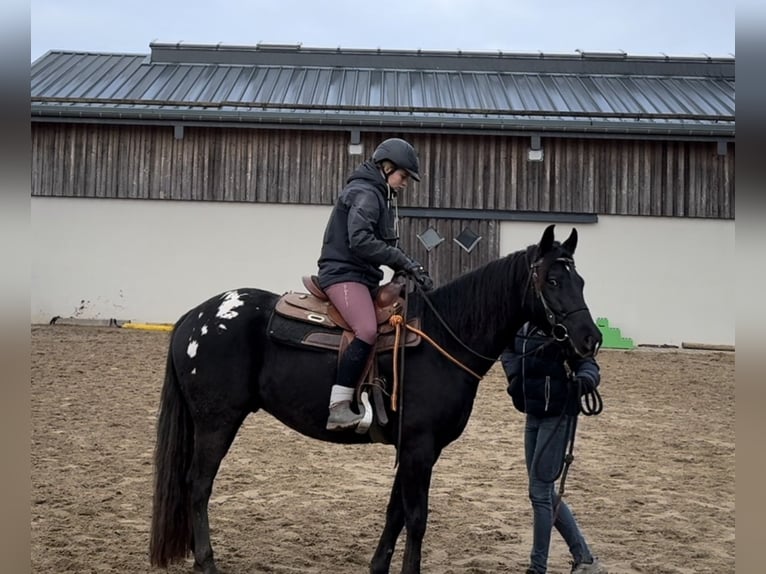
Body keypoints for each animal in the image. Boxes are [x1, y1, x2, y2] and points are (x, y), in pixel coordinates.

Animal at [152, 225, 608, 574]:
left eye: (581, 281)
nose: (590, 339)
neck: (444, 338)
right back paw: (207, 562)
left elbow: (396, 513)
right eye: (553, 281)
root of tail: (195, 316)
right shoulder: (421, 448)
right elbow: (417, 518)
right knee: (198, 485)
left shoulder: (413, 448)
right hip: (217, 421)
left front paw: (379, 566)